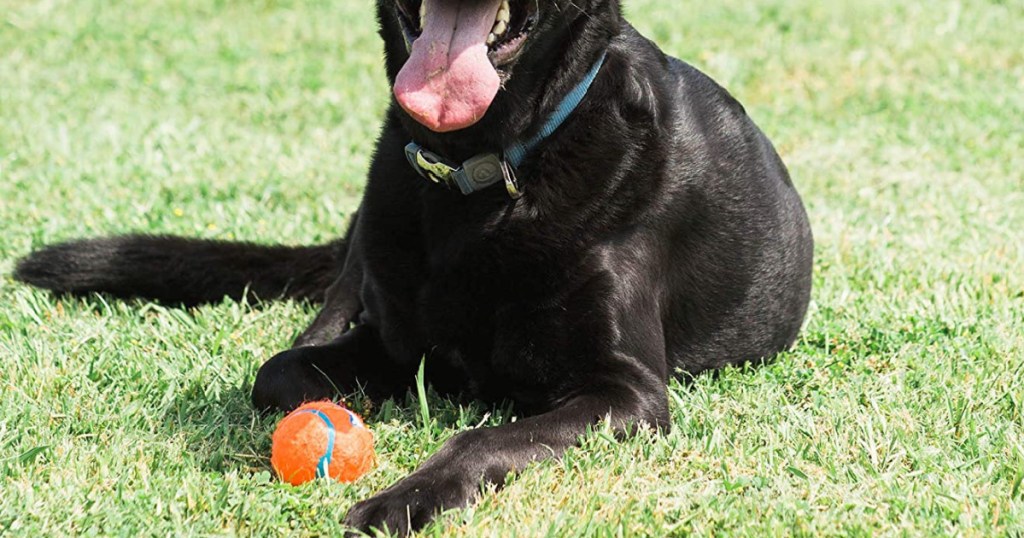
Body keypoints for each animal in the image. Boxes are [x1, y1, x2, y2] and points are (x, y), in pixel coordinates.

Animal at [14, 1, 815, 532]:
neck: (481, 173)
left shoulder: (628, 392)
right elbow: (281, 372)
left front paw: (403, 495)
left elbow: (486, 436)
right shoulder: (391, 338)